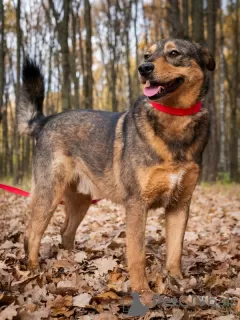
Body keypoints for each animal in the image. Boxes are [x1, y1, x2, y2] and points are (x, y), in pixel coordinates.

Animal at [17, 38, 216, 294]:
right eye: (147, 55)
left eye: (173, 53)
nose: (143, 68)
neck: (174, 119)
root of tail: (45, 121)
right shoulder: (136, 204)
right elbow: (137, 255)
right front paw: (142, 292)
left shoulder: (179, 205)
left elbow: (175, 253)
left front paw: (178, 282)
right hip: (49, 194)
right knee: (31, 234)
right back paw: (33, 270)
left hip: (80, 201)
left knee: (65, 232)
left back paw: (72, 262)